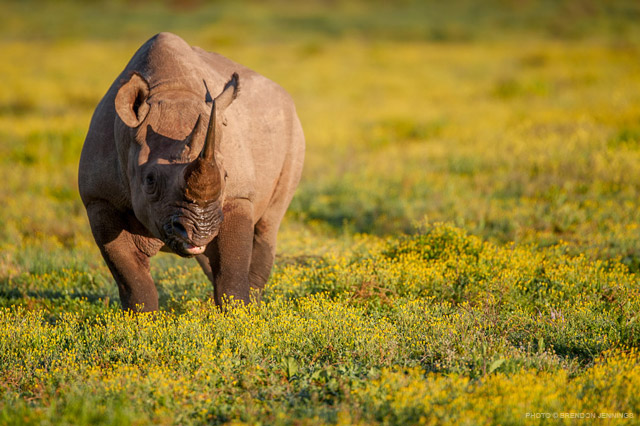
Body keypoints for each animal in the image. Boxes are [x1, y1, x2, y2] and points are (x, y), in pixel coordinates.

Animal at [79, 33, 304, 312]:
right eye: (149, 180)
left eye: (227, 176)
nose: (201, 229)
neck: (171, 90)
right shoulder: (99, 199)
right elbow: (132, 279)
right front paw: (143, 320)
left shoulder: (237, 196)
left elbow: (232, 270)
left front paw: (239, 317)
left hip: (292, 131)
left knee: (268, 224)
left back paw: (254, 305)